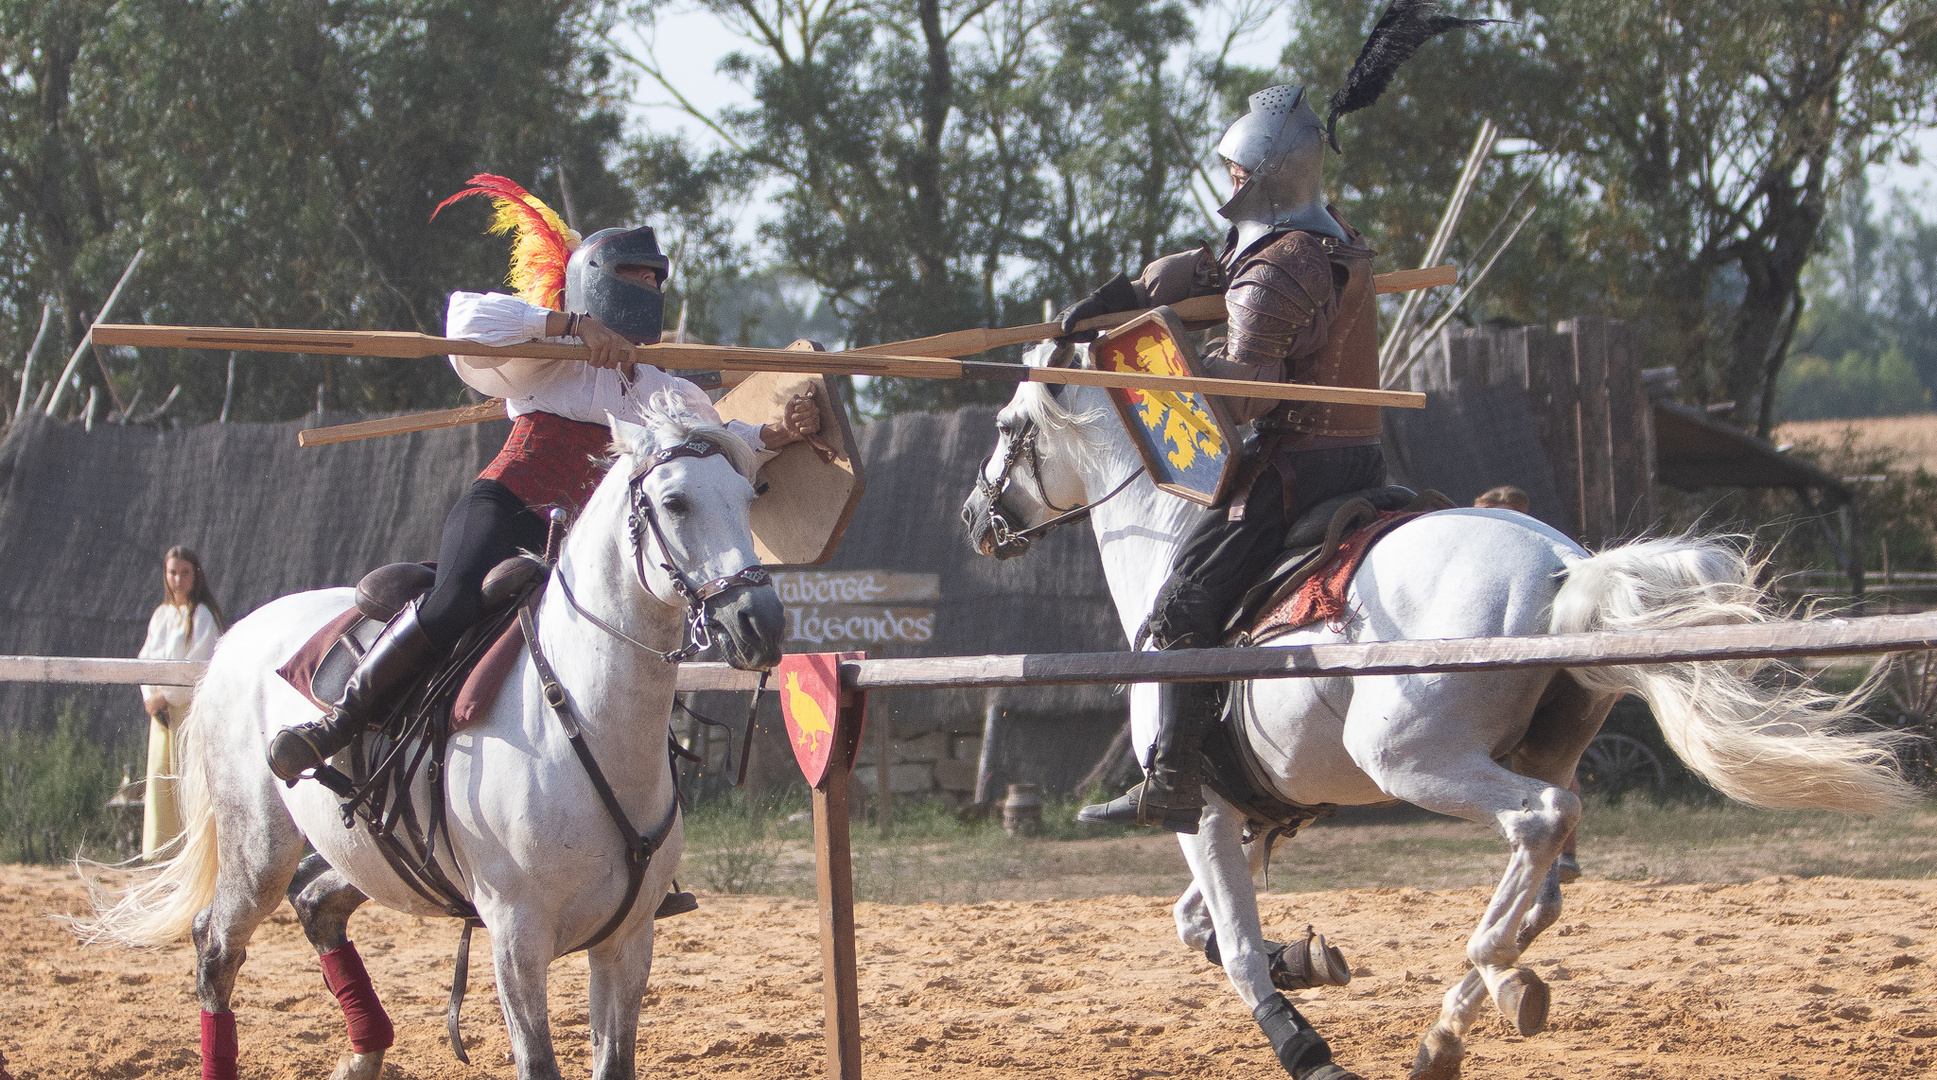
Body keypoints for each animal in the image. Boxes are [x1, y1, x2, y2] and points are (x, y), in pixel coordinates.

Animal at [81, 396, 778, 1080]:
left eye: (749, 497)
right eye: (675, 501)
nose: (761, 624)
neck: (584, 719)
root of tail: (235, 638)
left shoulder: (627, 942)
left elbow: (615, 1062)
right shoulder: (517, 940)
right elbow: (537, 1061)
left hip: (370, 852)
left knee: (315, 905)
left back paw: (364, 1053)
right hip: (258, 853)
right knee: (217, 945)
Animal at [956, 346, 1906, 1080]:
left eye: (1008, 426)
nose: (973, 518)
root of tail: (1566, 574)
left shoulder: (1204, 814)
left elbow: (1232, 949)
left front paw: (1304, 1045)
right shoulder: (1253, 813)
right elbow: (1197, 925)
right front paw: (1308, 960)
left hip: (1414, 762)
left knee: (1542, 823)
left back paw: (1493, 976)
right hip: (1519, 755)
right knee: (1547, 877)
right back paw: (1452, 1025)